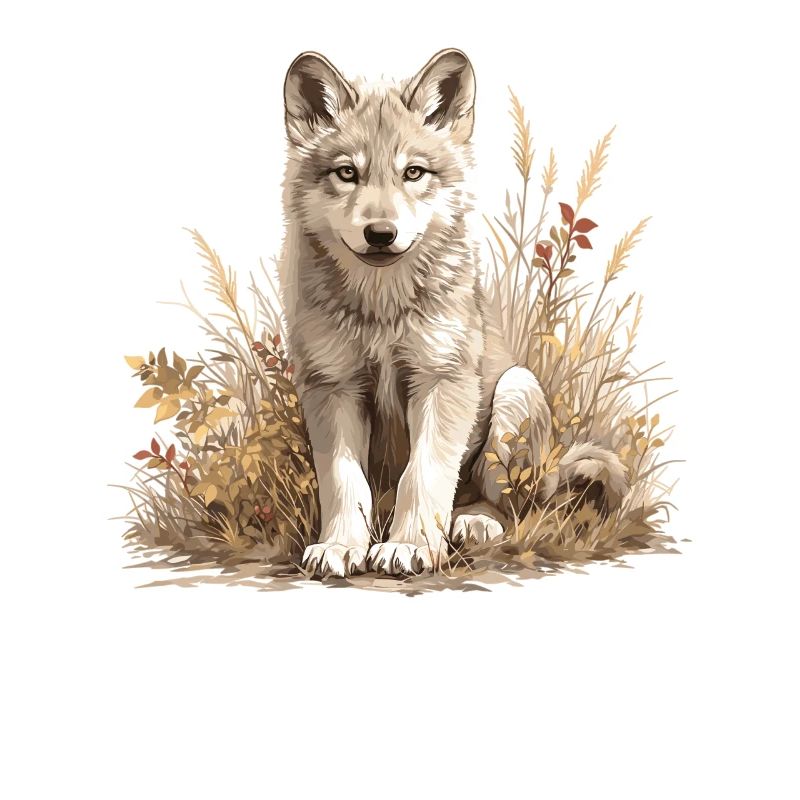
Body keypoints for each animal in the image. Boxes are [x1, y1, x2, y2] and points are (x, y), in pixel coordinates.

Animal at [279, 48, 627, 577]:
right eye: (347, 173)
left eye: (413, 173)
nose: (380, 233)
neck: (383, 309)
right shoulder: (332, 386)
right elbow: (343, 483)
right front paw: (340, 546)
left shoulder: (442, 380)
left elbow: (423, 474)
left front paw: (409, 546)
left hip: (515, 391)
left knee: (509, 507)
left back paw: (474, 522)